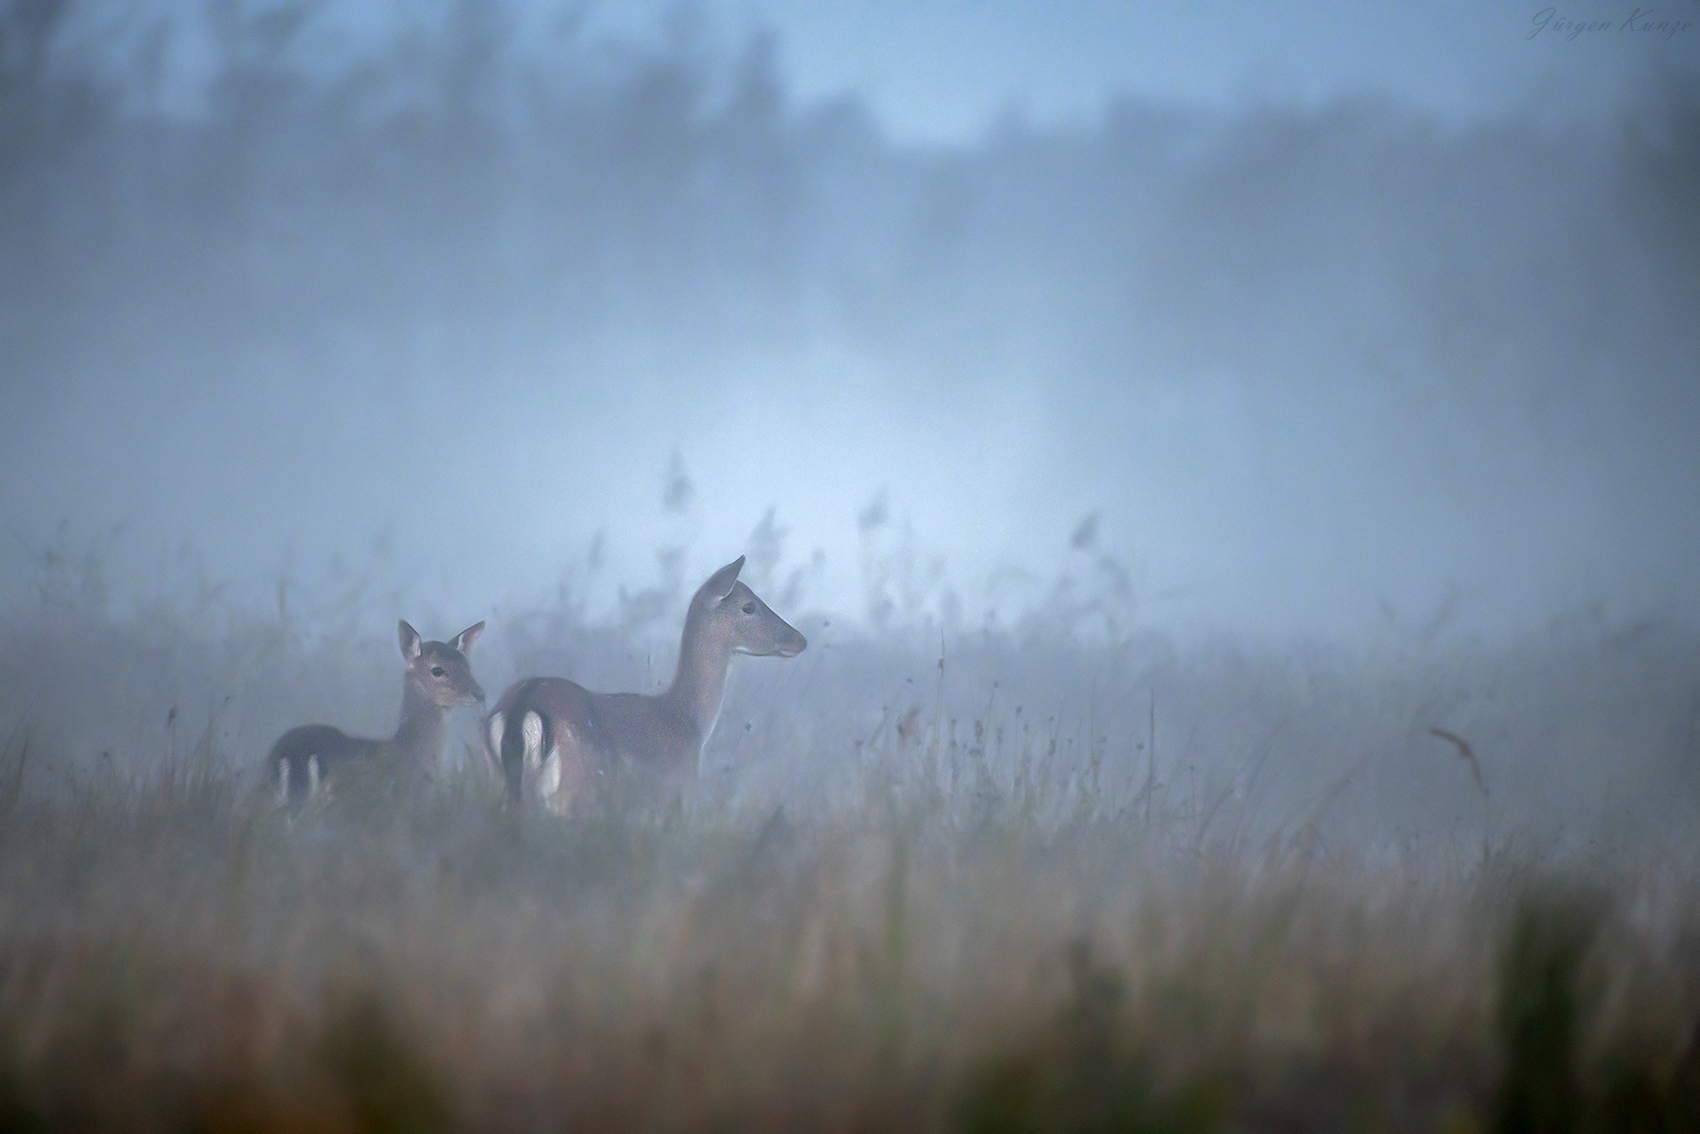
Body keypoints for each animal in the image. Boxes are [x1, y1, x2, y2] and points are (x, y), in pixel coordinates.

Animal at [489, 557, 805, 805]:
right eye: (749, 606)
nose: (799, 639)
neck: (688, 722)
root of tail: (520, 707)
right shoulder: (675, 794)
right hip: (574, 789)